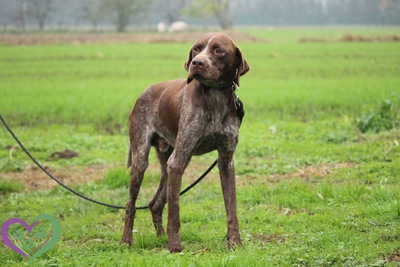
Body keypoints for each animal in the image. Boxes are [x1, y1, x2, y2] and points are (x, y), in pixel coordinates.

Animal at [120, 32, 248, 252]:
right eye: (196, 49)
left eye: (218, 50)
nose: (196, 63)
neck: (214, 98)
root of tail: (144, 92)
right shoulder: (178, 161)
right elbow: (175, 211)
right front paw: (175, 247)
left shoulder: (226, 161)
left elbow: (231, 208)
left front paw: (235, 242)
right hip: (142, 160)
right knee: (131, 204)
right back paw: (127, 240)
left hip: (168, 162)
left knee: (155, 203)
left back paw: (160, 236)